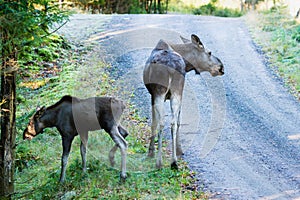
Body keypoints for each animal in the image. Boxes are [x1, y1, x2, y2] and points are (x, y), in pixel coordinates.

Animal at [144, 34, 225, 169]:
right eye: (209, 52)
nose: (221, 67)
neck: (187, 65)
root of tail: (171, 69)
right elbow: (177, 121)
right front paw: (179, 150)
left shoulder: (153, 95)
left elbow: (154, 123)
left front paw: (151, 152)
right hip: (176, 91)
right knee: (172, 122)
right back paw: (173, 162)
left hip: (160, 92)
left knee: (162, 121)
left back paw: (159, 162)